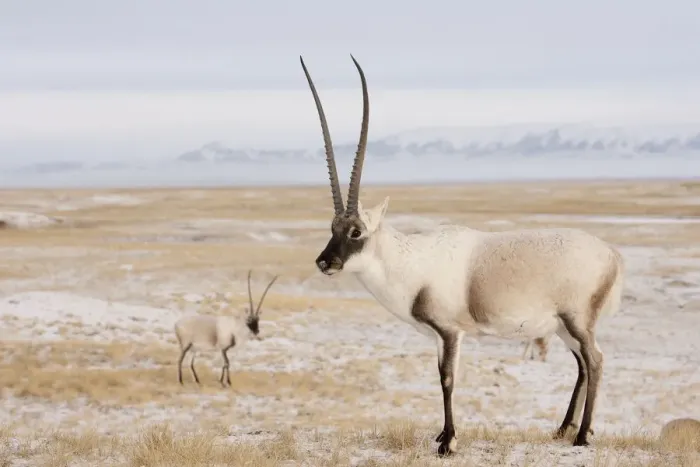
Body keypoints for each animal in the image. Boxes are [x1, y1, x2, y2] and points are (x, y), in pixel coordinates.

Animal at [299, 55, 625, 456]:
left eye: (356, 231)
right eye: (332, 228)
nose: (324, 262)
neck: (412, 261)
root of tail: (612, 255)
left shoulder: (450, 331)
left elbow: (447, 378)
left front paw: (448, 441)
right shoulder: (439, 336)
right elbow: (441, 376)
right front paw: (442, 435)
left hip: (576, 320)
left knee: (594, 360)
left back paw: (582, 436)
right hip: (564, 327)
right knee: (582, 364)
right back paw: (563, 429)